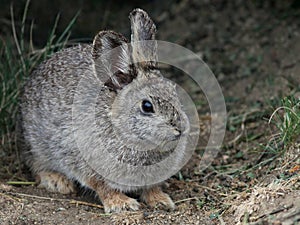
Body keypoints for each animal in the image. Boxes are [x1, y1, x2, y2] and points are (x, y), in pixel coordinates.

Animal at [18, 8, 190, 213]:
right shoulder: (86, 164)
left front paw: (161, 200)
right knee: (36, 164)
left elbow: (151, 188)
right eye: (147, 106)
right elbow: (103, 187)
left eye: (174, 91)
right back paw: (57, 182)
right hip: (37, 145)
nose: (180, 128)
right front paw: (122, 204)